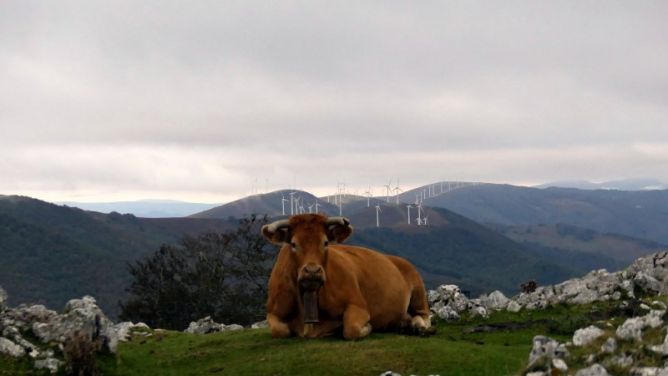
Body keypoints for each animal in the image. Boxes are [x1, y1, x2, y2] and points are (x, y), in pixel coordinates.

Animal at [260, 213, 434, 340]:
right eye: (293, 244)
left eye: (325, 243)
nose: (312, 271)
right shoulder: (273, 311)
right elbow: (279, 331)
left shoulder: (358, 305)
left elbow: (351, 330)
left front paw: (367, 327)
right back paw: (403, 324)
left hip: (418, 290)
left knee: (424, 315)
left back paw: (418, 327)